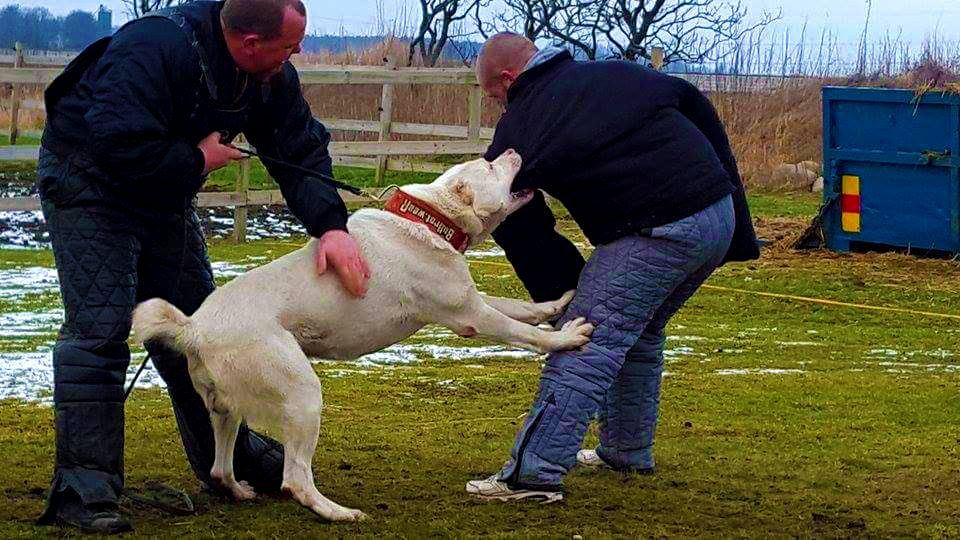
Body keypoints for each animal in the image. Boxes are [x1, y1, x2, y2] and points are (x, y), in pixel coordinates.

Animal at [130, 150, 588, 520]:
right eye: (490, 167)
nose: (511, 150)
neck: (430, 219)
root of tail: (194, 328)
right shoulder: (471, 316)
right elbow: (521, 331)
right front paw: (565, 338)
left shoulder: (472, 301)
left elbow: (519, 309)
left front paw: (556, 305)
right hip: (303, 395)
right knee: (295, 478)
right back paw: (337, 513)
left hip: (226, 410)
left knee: (220, 467)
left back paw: (240, 491)